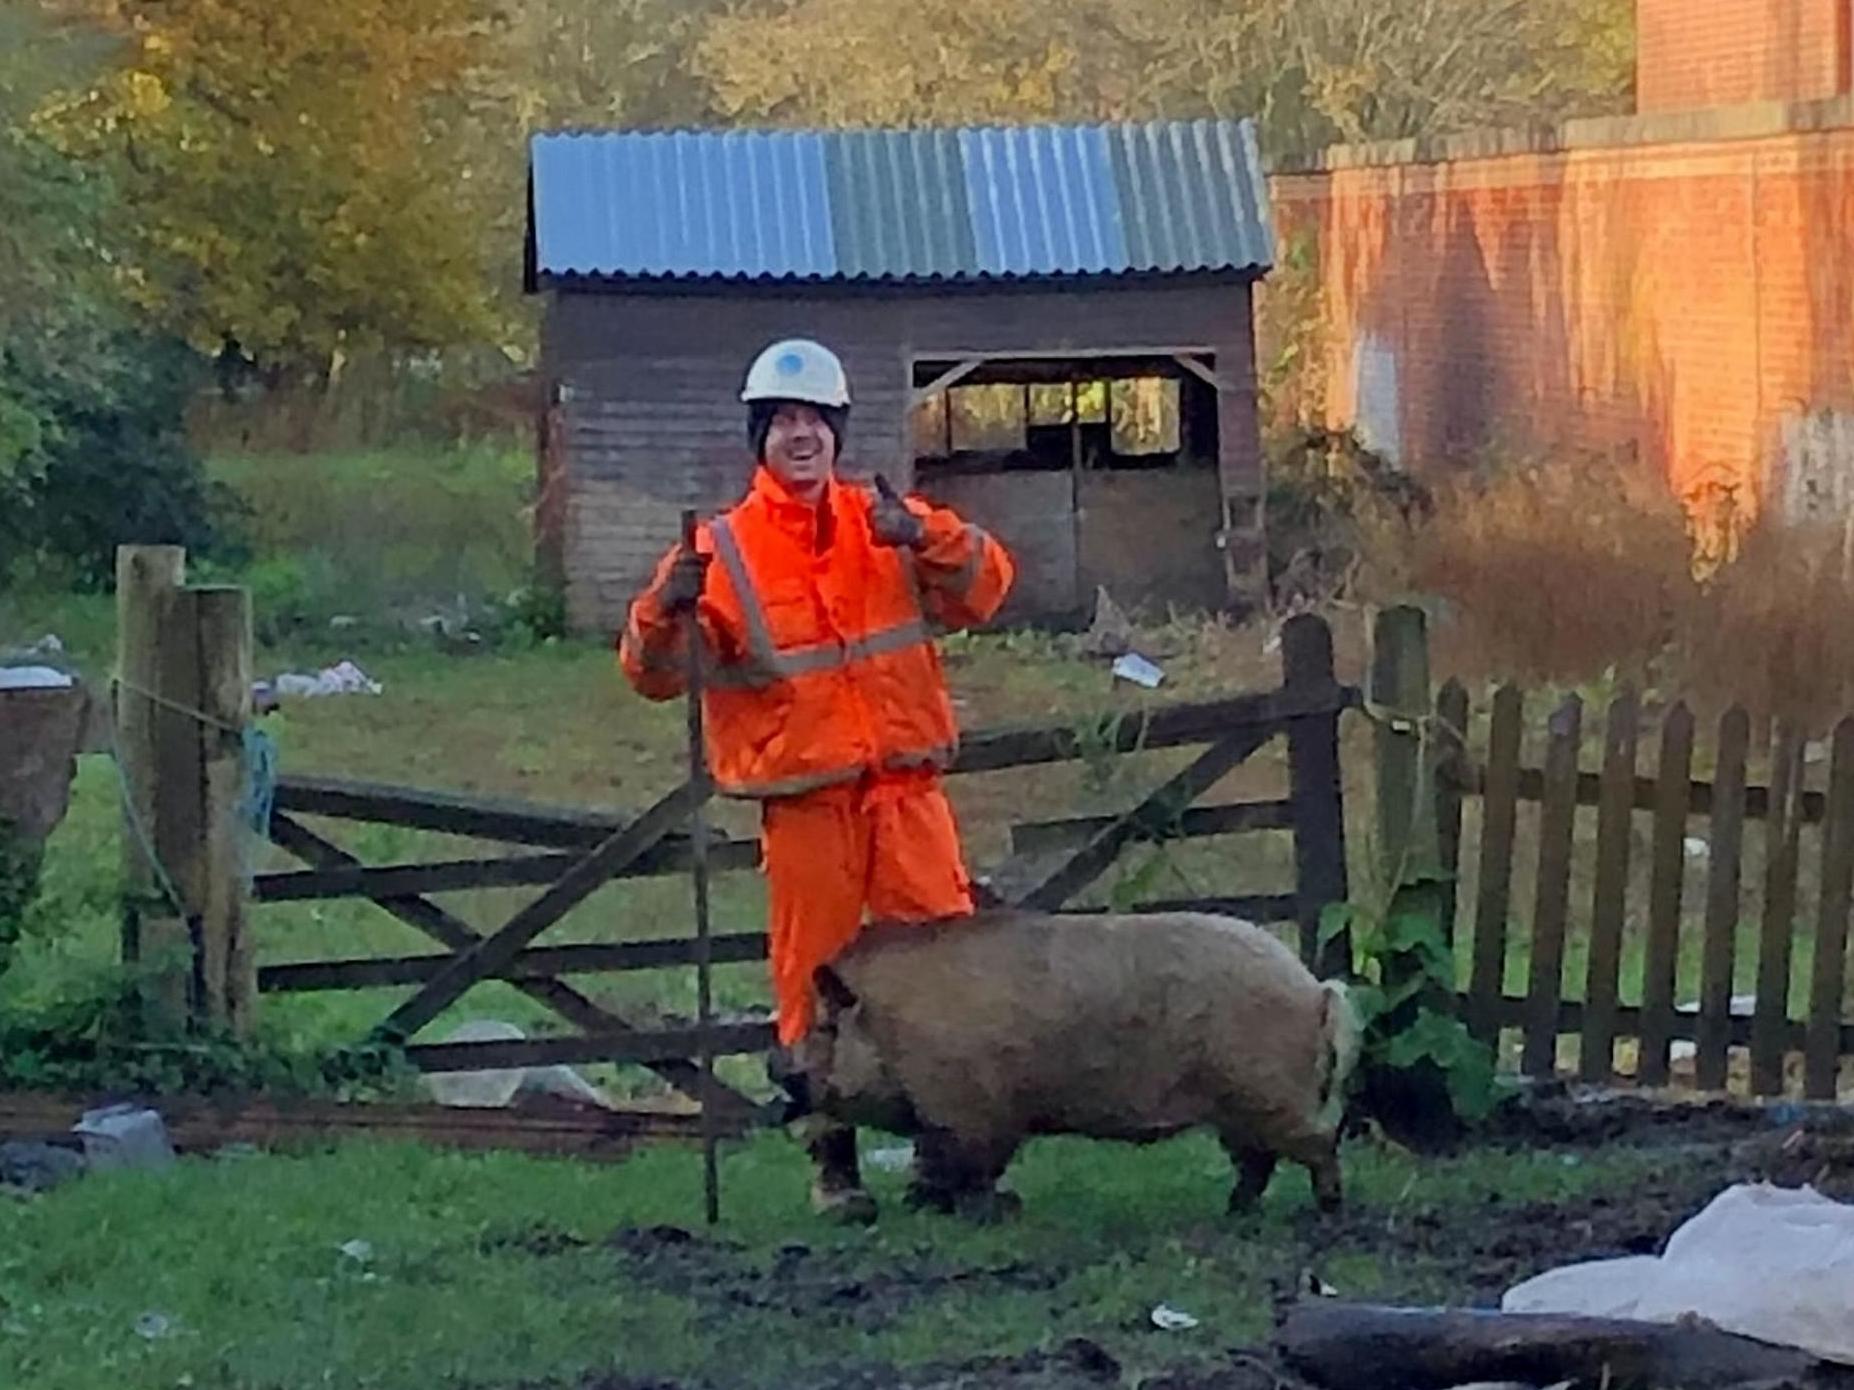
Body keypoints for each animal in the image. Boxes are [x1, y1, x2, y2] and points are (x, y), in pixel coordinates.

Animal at [782, 908, 1364, 1223]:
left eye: (824, 1028)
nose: (780, 1070)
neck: (894, 1025)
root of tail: (1313, 987)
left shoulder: (972, 1110)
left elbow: (972, 1167)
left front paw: (980, 1215)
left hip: (1266, 1093)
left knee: (1317, 1142)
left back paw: (1327, 1210)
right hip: (1238, 1107)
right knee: (1257, 1162)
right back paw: (1235, 1211)